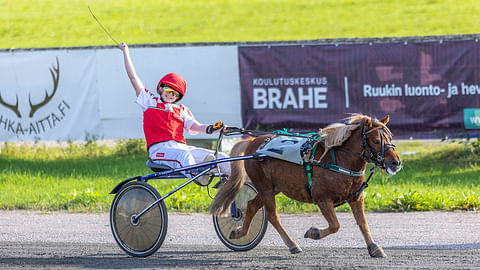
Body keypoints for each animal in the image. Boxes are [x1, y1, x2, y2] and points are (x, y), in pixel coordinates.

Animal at [210, 114, 402, 258]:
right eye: (376, 141)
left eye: (390, 138)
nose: (395, 163)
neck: (339, 159)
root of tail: (252, 142)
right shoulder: (322, 198)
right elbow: (335, 225)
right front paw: (313, 232)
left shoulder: (356, 197)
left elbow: (363, 223)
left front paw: (374, 247)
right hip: (265, 188)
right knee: (272, 216)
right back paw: (292, 244)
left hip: (272, 188)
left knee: (251, 206)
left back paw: (240, 232)